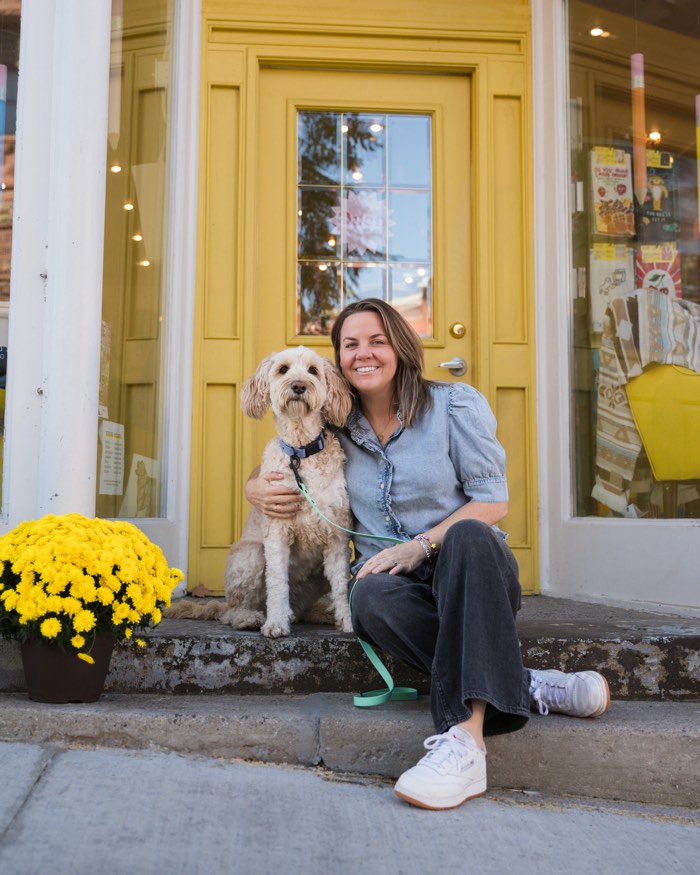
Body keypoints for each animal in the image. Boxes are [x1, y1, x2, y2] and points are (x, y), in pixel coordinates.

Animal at [165, 346, 356, 640]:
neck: (301, 452)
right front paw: (276, 623)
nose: (298, 385)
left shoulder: (336, 535)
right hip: (251, 555)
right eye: (283, 369)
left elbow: (342, 586)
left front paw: (348, 622)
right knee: (233, 611)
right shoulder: (277, 532)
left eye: (313, 370)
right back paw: (251, 617)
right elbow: (277, 582)